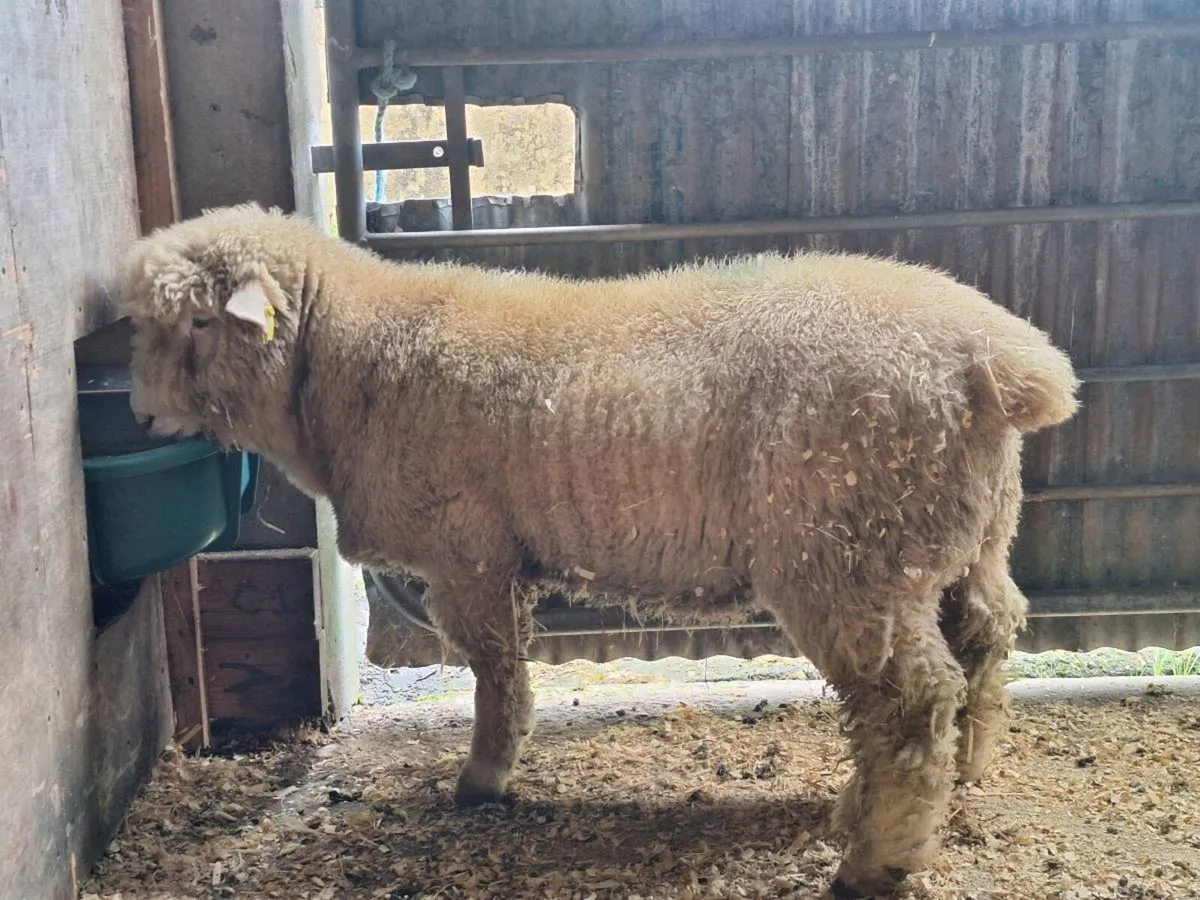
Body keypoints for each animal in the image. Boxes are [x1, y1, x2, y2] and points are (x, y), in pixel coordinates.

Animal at [118, 203, 1079, 898]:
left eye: (200, 323)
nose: (139, 414)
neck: (345, 358)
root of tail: (999, 360)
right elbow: (503, 668)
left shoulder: (470, 551)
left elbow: (495, 672)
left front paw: (485, 778)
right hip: (964, 536)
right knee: (983, 640)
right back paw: (946, 782)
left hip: (849, 554)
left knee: (911, 701)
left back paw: (876, 861)